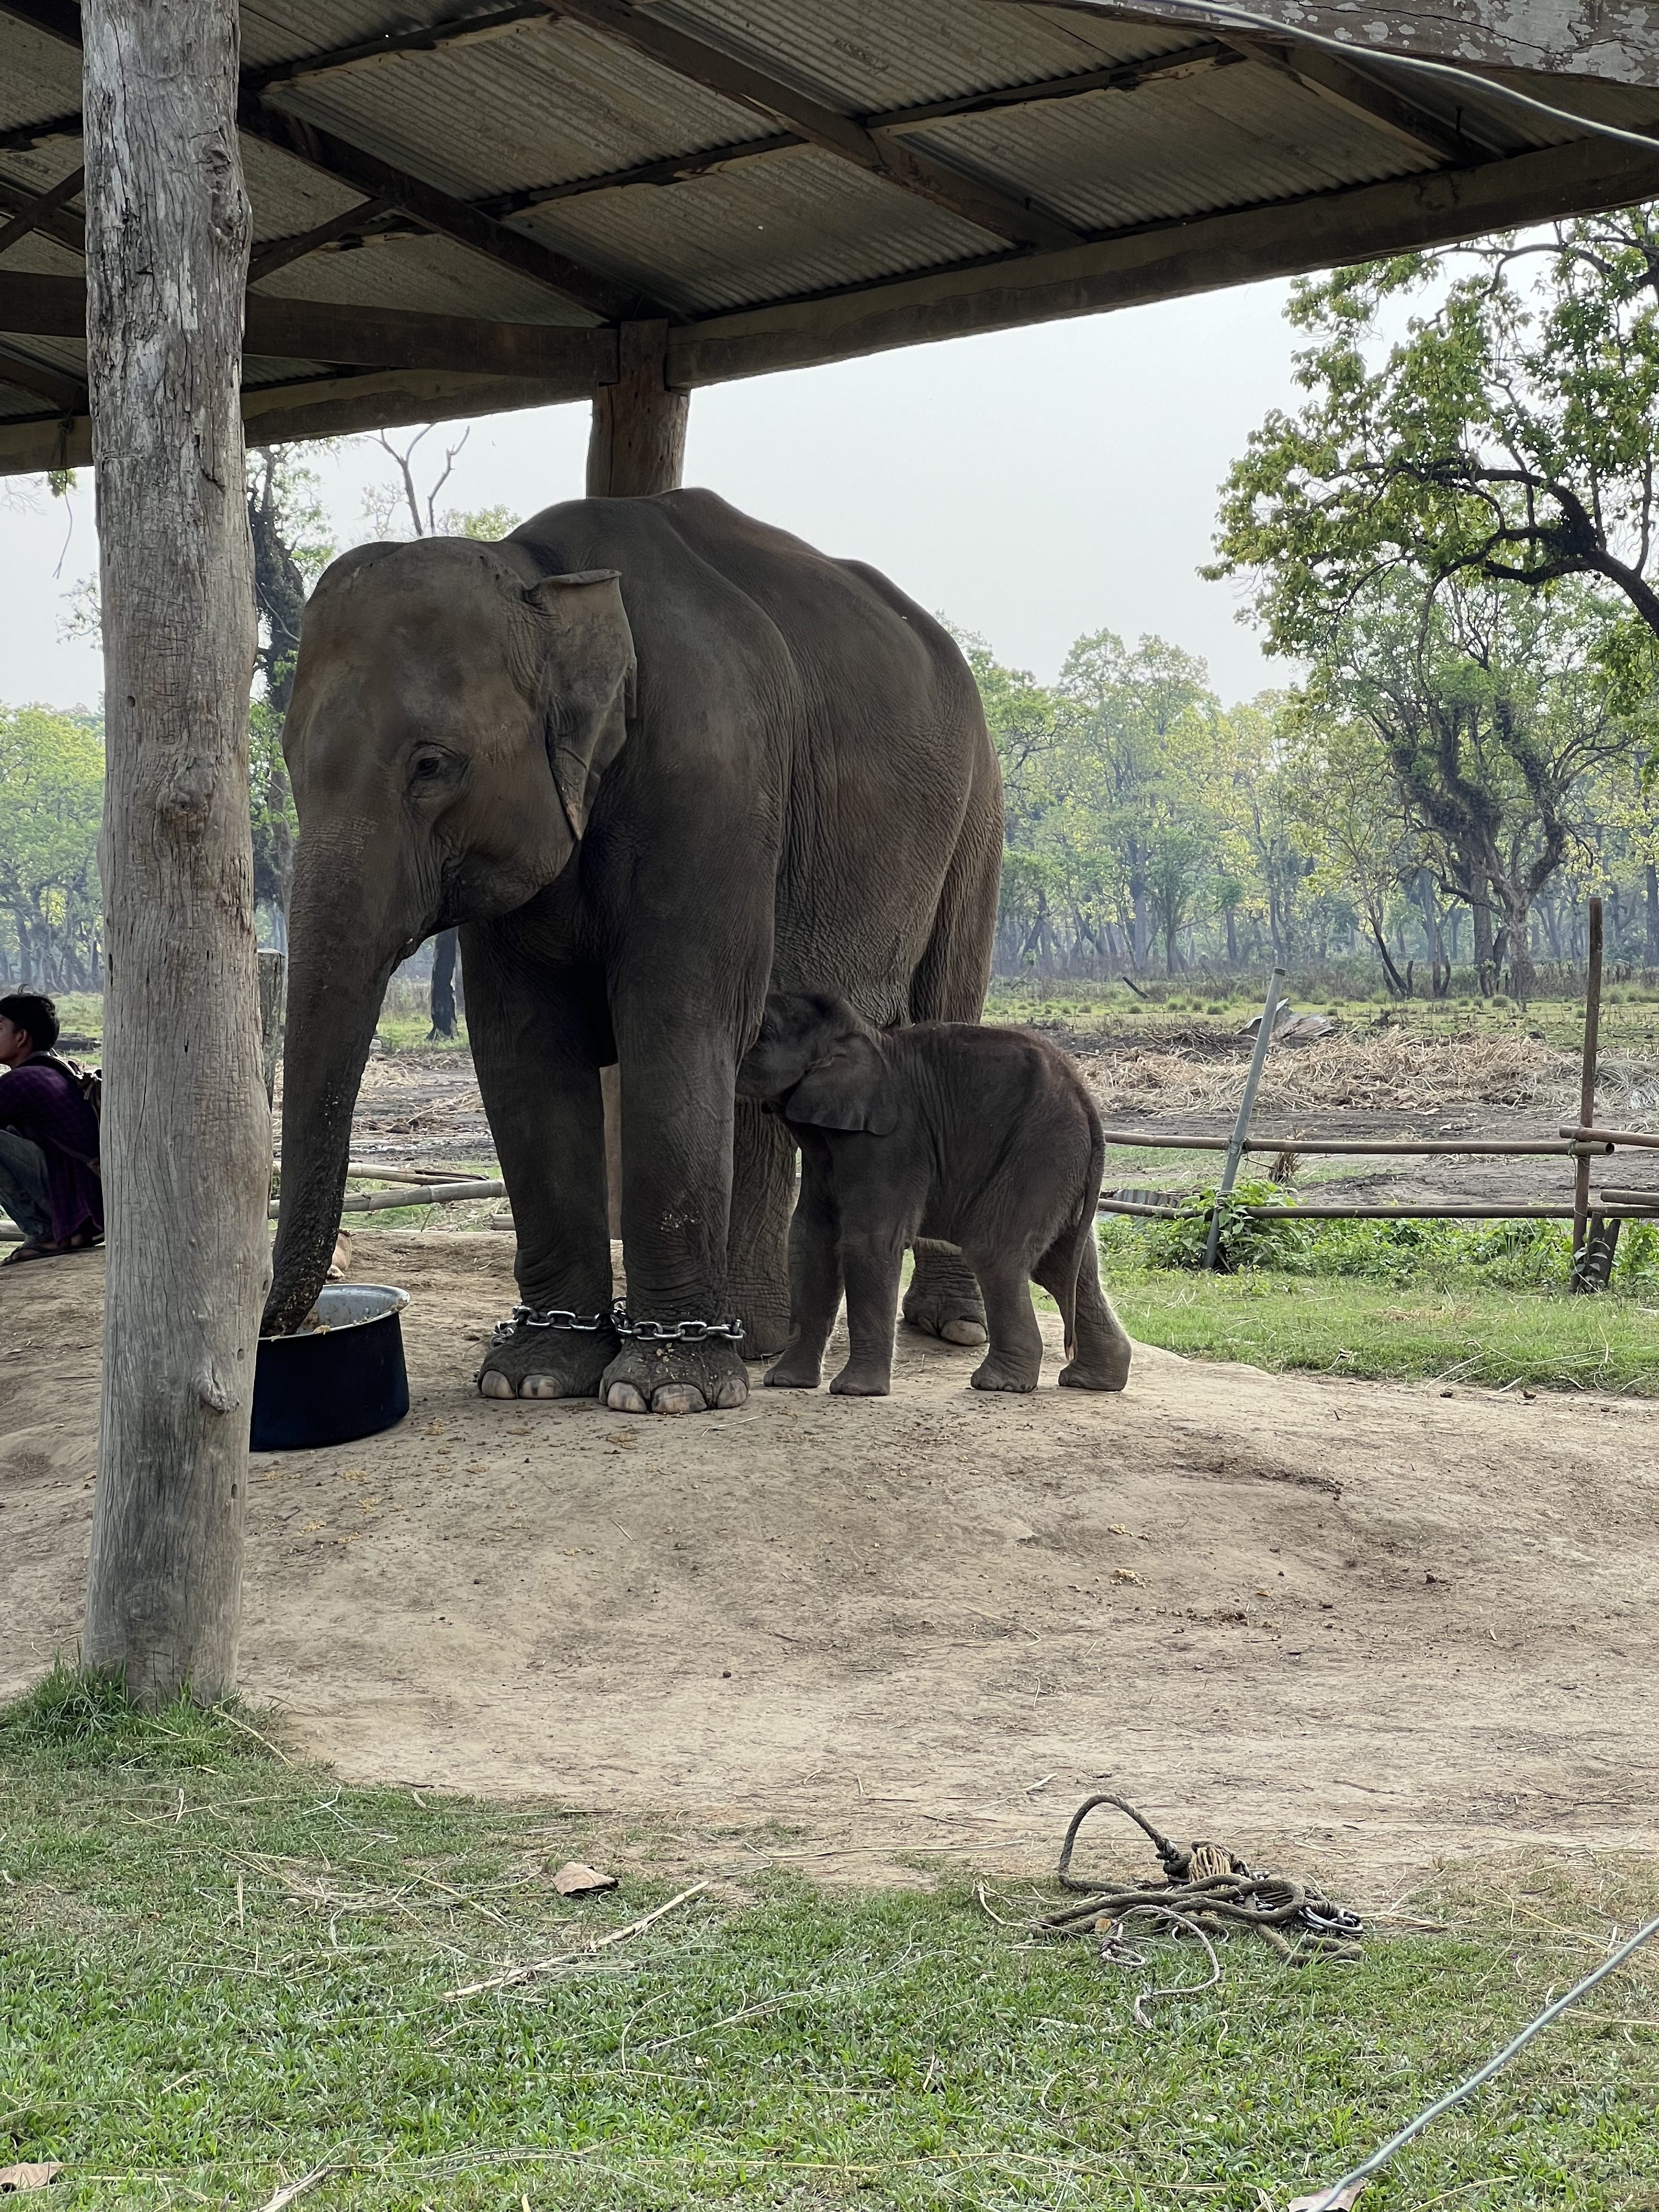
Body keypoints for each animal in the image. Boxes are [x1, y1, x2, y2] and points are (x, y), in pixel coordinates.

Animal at [263, 489, 1003, 1416]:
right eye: (289, 766)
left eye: (432, 765)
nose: (285, 1335)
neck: (545, 574)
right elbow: (524, 1044)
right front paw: (534, 1374)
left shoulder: (713, 768)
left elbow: (674, 1020)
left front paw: (663, 1392)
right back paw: (757, 1340)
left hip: (976, 817)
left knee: (941, 1016)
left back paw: (950, 1329)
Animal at [736, 991, 1132, 1398]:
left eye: (762, 1032)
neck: (863, 1038)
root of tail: (1086, 1099)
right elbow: (810, 1240)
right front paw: (785, 1382)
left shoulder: (892, 1142)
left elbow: (870, 1240)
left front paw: (855, 1391)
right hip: (1062, 1166)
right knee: (1063, 1266)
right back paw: (1091, 1381)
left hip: (1042, 1152)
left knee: (996, 1254)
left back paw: (998, 1383)